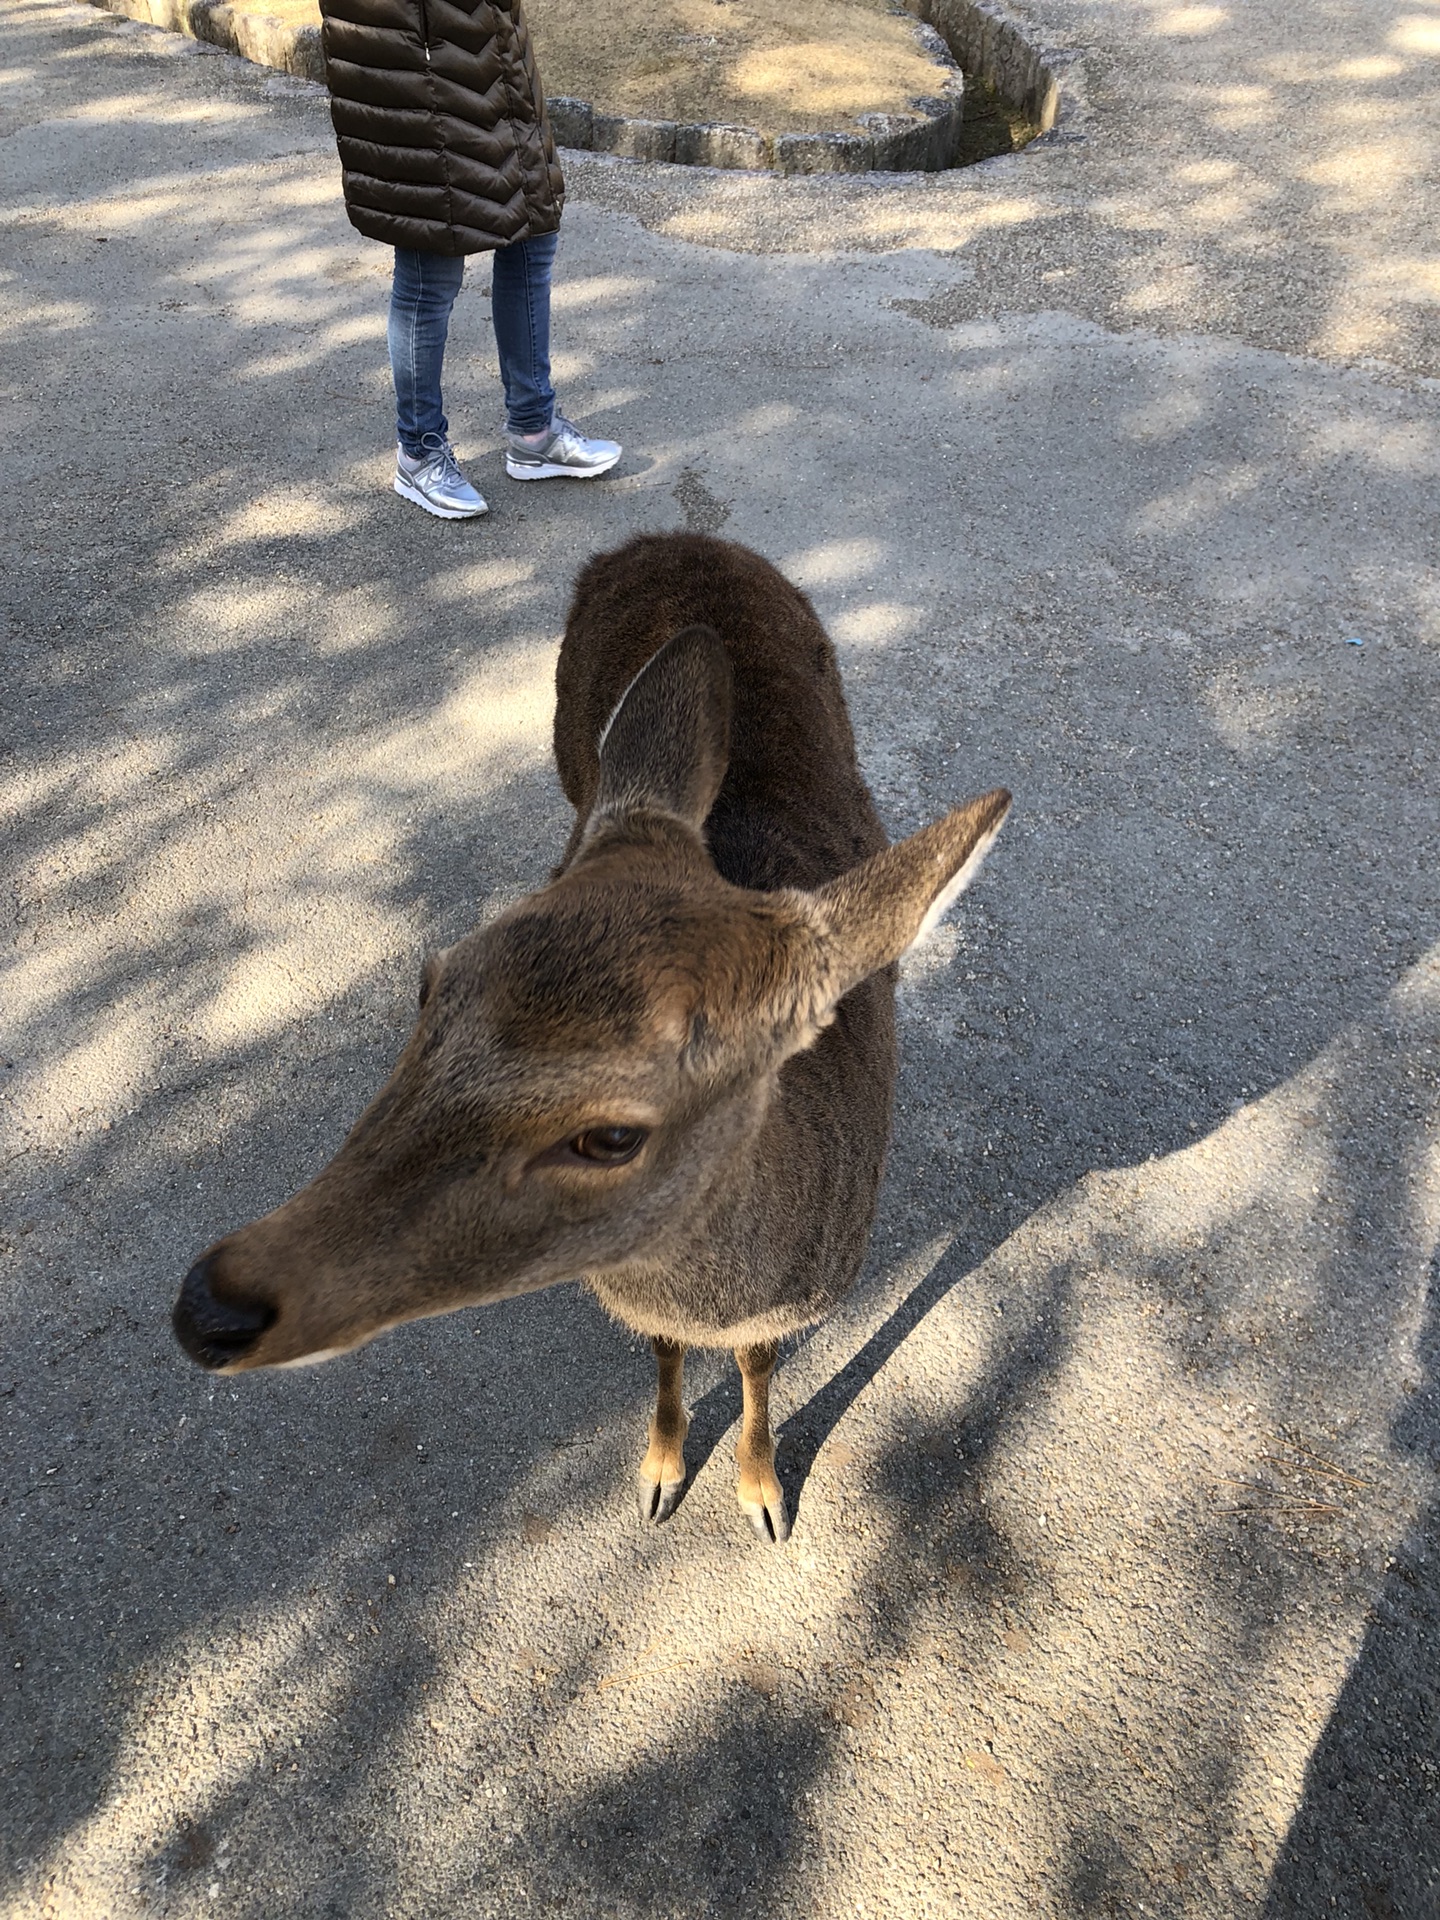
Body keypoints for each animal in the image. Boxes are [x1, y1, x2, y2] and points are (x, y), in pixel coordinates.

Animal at [174, 529, 1006, 1543]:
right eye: (431, 981)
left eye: (611, 1136)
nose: (210, 1308)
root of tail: (672, 538)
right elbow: (660, 1349)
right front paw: (658, 1475)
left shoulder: (802, 1297)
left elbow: (759, 1366)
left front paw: (763, 1494)